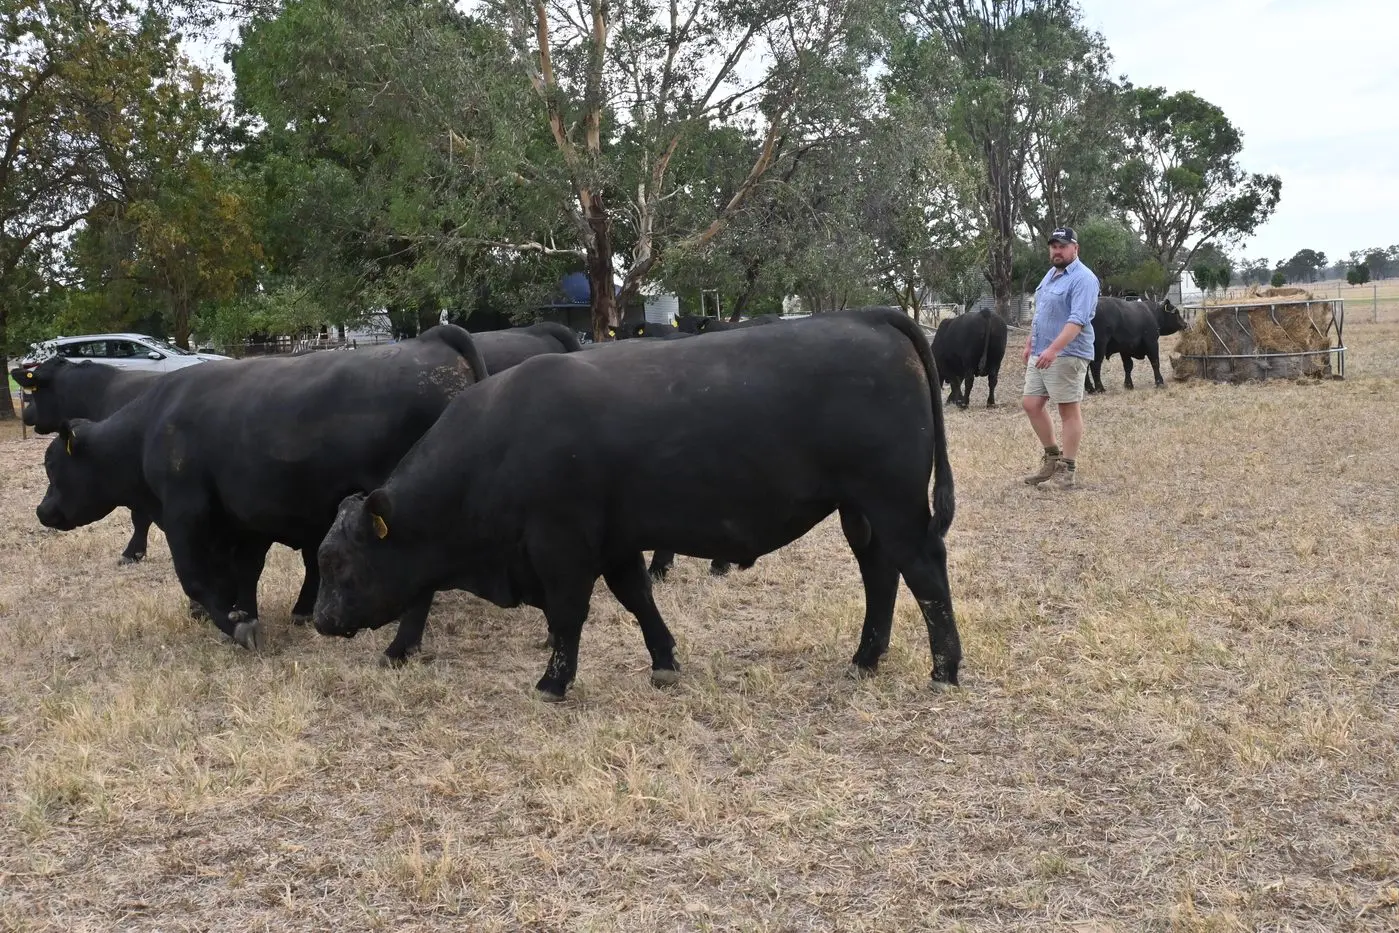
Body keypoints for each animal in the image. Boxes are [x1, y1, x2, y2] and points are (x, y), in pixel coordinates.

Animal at [311, 307, 962, 701]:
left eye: (338, 562)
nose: (320, 619)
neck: (500, 438)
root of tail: (867, 316)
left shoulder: (561, 545)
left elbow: (567, 615)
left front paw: (552, 682)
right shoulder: (616, 542)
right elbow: (637, 598)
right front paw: (664, 660)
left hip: (894, 503)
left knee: (924, 572)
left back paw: (945, 668)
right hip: (862, 513)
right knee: (880, 574)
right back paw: (866, 657)